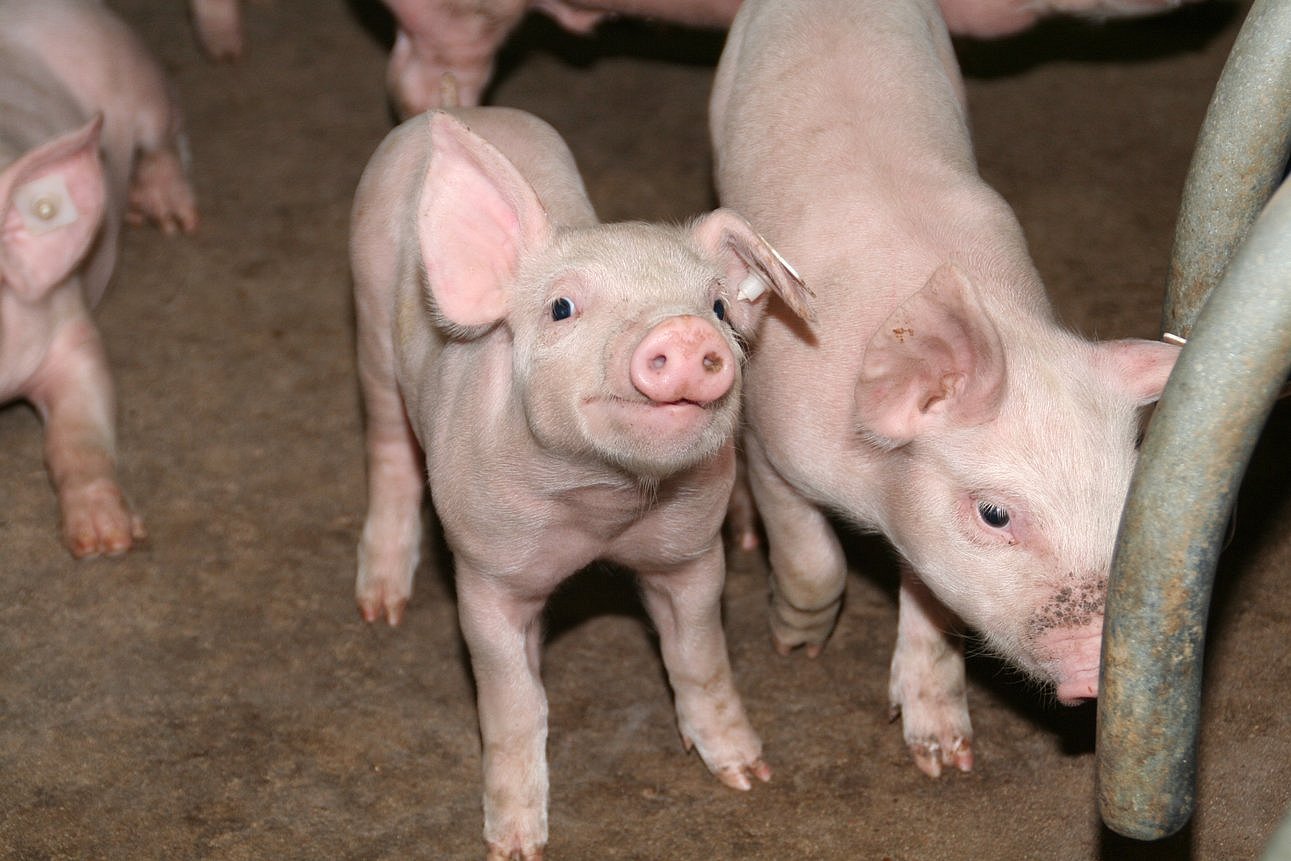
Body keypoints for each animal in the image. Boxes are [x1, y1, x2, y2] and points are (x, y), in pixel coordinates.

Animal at [1, 0, 197, 560]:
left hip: (138, 74)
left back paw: (170, 216)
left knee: (163, 141)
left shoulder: (66, 321)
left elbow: (78, 434)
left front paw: (105, 542)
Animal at [348, 104, 810, 857]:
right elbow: (512, 702)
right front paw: (514, 845)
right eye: (561, 308)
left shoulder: (689, 553)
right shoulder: (485, 572)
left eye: (716, 307)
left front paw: (748, 775)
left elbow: (700, 657)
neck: (602, 510)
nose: (685, 334)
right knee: (387, 444)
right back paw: (380, 607)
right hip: (367, 317)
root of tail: (461, 107)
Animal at [712, 0, 1177, 779]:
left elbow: (932, 600)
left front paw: (943, 759)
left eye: (1126, 500)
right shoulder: (773, 437)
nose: (1093, 671)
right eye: (994, 514)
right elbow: (812, 557)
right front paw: (795, 642)